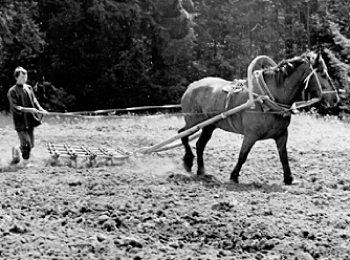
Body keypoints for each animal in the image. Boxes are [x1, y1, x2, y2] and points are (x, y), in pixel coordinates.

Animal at [178, 51, 340, 185]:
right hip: (194, 122)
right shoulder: (251, 135)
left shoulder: (281, 135)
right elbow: (243, 155)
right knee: (182, 134)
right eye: (323, 74)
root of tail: (192, 86)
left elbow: (283, 156)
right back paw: (188, 161)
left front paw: (288, 178)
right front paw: (234, 176)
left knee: (199, 145)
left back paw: (201, 171)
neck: (268, 98)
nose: (335, 98)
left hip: (209, 126)